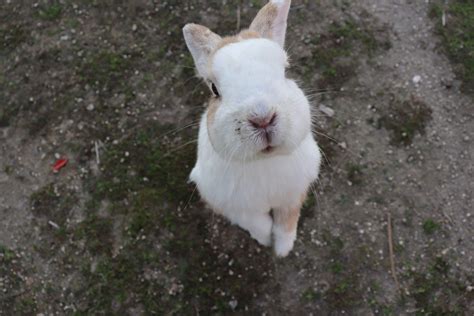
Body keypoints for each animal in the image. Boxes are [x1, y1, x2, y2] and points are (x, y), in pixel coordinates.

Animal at [183, 0, 320, 256]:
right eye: (214, 89)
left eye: (285, 71)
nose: (262, 118)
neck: (263, 162)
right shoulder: (230, 204)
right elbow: (257, 223)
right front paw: (266, 240)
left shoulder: (294, 193)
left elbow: (287, 222)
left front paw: (282, 250)